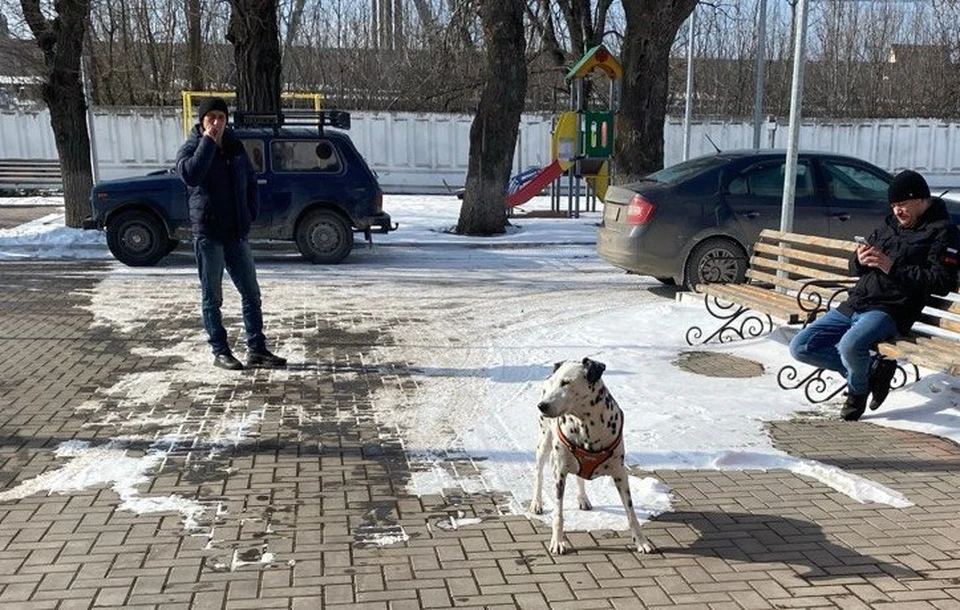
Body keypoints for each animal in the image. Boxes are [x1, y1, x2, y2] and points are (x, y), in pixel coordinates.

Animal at [528, 354, 656, 552]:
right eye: (555, 381)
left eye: (566, 382)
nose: (542, 406)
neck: (586, 425)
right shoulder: (560, 472)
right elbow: (558, 514)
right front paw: (557, 541)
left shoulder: (620, 474)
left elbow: (631, 513)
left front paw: (641, 541)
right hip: (544, 442)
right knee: (539, 473)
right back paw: (537, 502)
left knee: (580, 476)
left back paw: (583, 499)